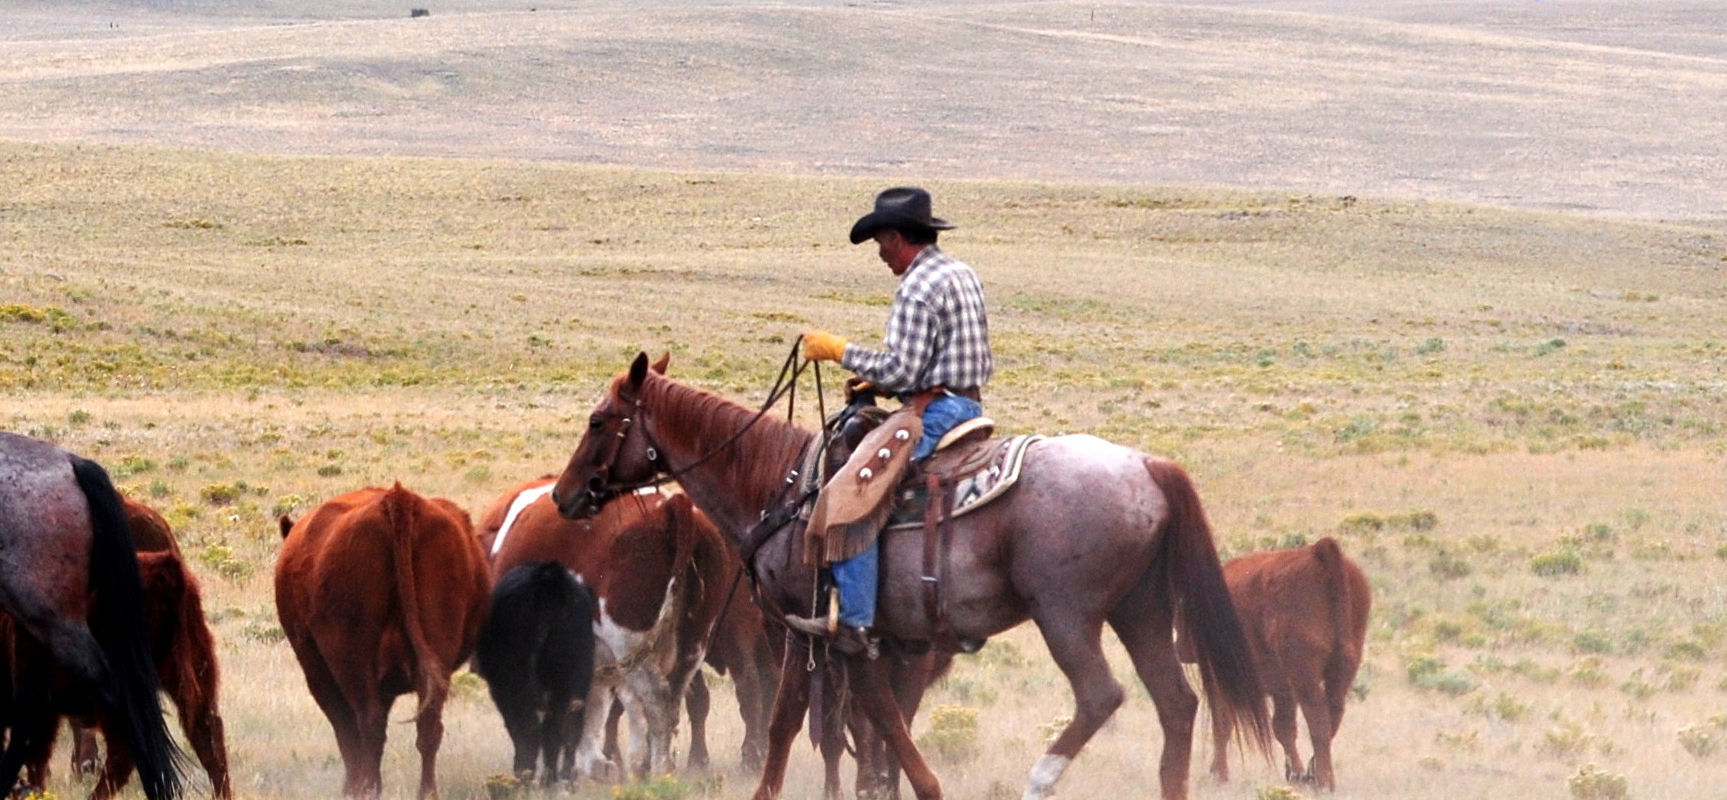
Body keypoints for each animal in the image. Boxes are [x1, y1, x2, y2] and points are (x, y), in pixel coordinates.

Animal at [275, 483, 491, 798]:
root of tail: (397, 498)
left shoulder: (318, 673)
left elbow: (345, 731)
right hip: (438, 649)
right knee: (428, 726)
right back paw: (426, 792)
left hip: (351, 661)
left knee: (368, 725)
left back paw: (369, 789)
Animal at [1186, 536, 1371, 791]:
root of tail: (1320, 552)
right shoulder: (1283, 690)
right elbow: (1284, 728)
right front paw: (1296, 774)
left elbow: (1223, 723)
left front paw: (1218, 774)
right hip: (1342, 668)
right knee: (1332, 715)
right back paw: (1319, 777)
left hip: (1305, 675)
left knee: (1317, 718)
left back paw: (1321, 781)